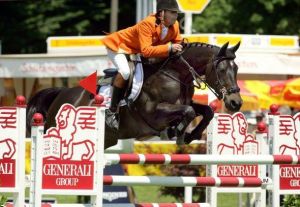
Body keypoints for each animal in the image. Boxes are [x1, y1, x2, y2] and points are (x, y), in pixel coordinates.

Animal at [26, 41, 244, 149]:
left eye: (236, 68)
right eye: (222, 70)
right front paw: (177, 132)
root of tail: (62, 94)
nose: (236, 103)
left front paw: (191, 135)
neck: (174, 74)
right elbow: (189, 111)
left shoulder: (185, 102)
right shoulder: (154, 113)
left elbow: (206, 111)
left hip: (105, 139)